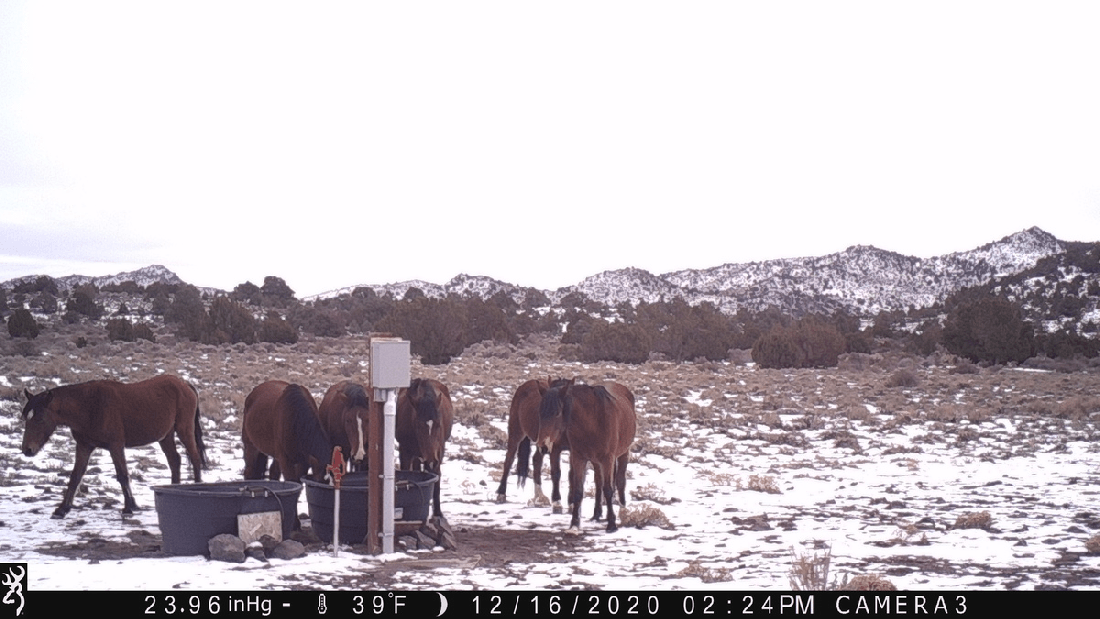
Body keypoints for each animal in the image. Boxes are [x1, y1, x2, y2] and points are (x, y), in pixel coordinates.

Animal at [20, 375, 207, 519]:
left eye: (40, 419)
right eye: (25, 418)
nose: (27, 450)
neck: (90, 406)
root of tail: (185, 384)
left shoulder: (115, 446)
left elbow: (122, 475)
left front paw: (129, 507)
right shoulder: (84, 446)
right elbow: (75, 476)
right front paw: (62, 509)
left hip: (184, 430)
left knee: (195, 458)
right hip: (166, 436)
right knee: (175, 461)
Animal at [395, 378, 453, 519]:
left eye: (438, 424)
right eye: (418, 425)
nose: (431, 460)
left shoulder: (439, 452)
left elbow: (437, 476)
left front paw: (438, 514)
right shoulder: (405, 452)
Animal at [495, 378, 570, 513]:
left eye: (558, 412)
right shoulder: (554, 448)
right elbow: (556, 473)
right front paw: (557, 504)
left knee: (536, 459)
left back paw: (539, 497)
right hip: (517, 434)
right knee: (509, 460)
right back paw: (501, 494)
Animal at [536, 379, 636, 533]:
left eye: (557, 413)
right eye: (540, 413)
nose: (543, 446)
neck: (593, 421)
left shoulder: (607, 459)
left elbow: (608, 489)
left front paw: (611, 524)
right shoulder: (579, 458)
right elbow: (578, 490)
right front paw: (574, 525)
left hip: (623, 453)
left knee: (620, 480)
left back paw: (622, 510)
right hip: (596, 462)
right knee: (599, 483)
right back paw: (596, 514)